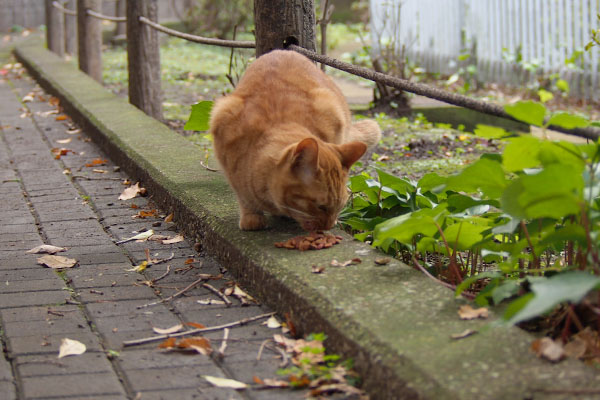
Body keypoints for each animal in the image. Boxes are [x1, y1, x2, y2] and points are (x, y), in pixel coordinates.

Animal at [211, 50, 380, 231]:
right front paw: (252, 217)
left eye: (340, 207)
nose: (328, 226)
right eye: (321, 207)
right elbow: (243, 195)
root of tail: (283, 50)